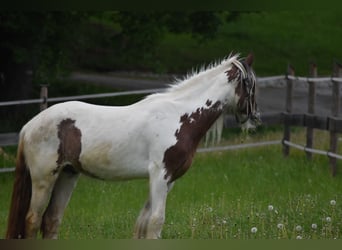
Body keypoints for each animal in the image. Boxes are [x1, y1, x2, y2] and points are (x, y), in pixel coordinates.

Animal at [5, 52, 260, 238]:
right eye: (251, 85)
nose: (255, 118)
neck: (179, 117)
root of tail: (29, 126)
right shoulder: (160, 176)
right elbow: (156, 222)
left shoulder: (168, 180)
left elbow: (144, 223)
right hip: (44, 179)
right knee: (32, 221)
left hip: (67, 175)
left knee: (51, 221)